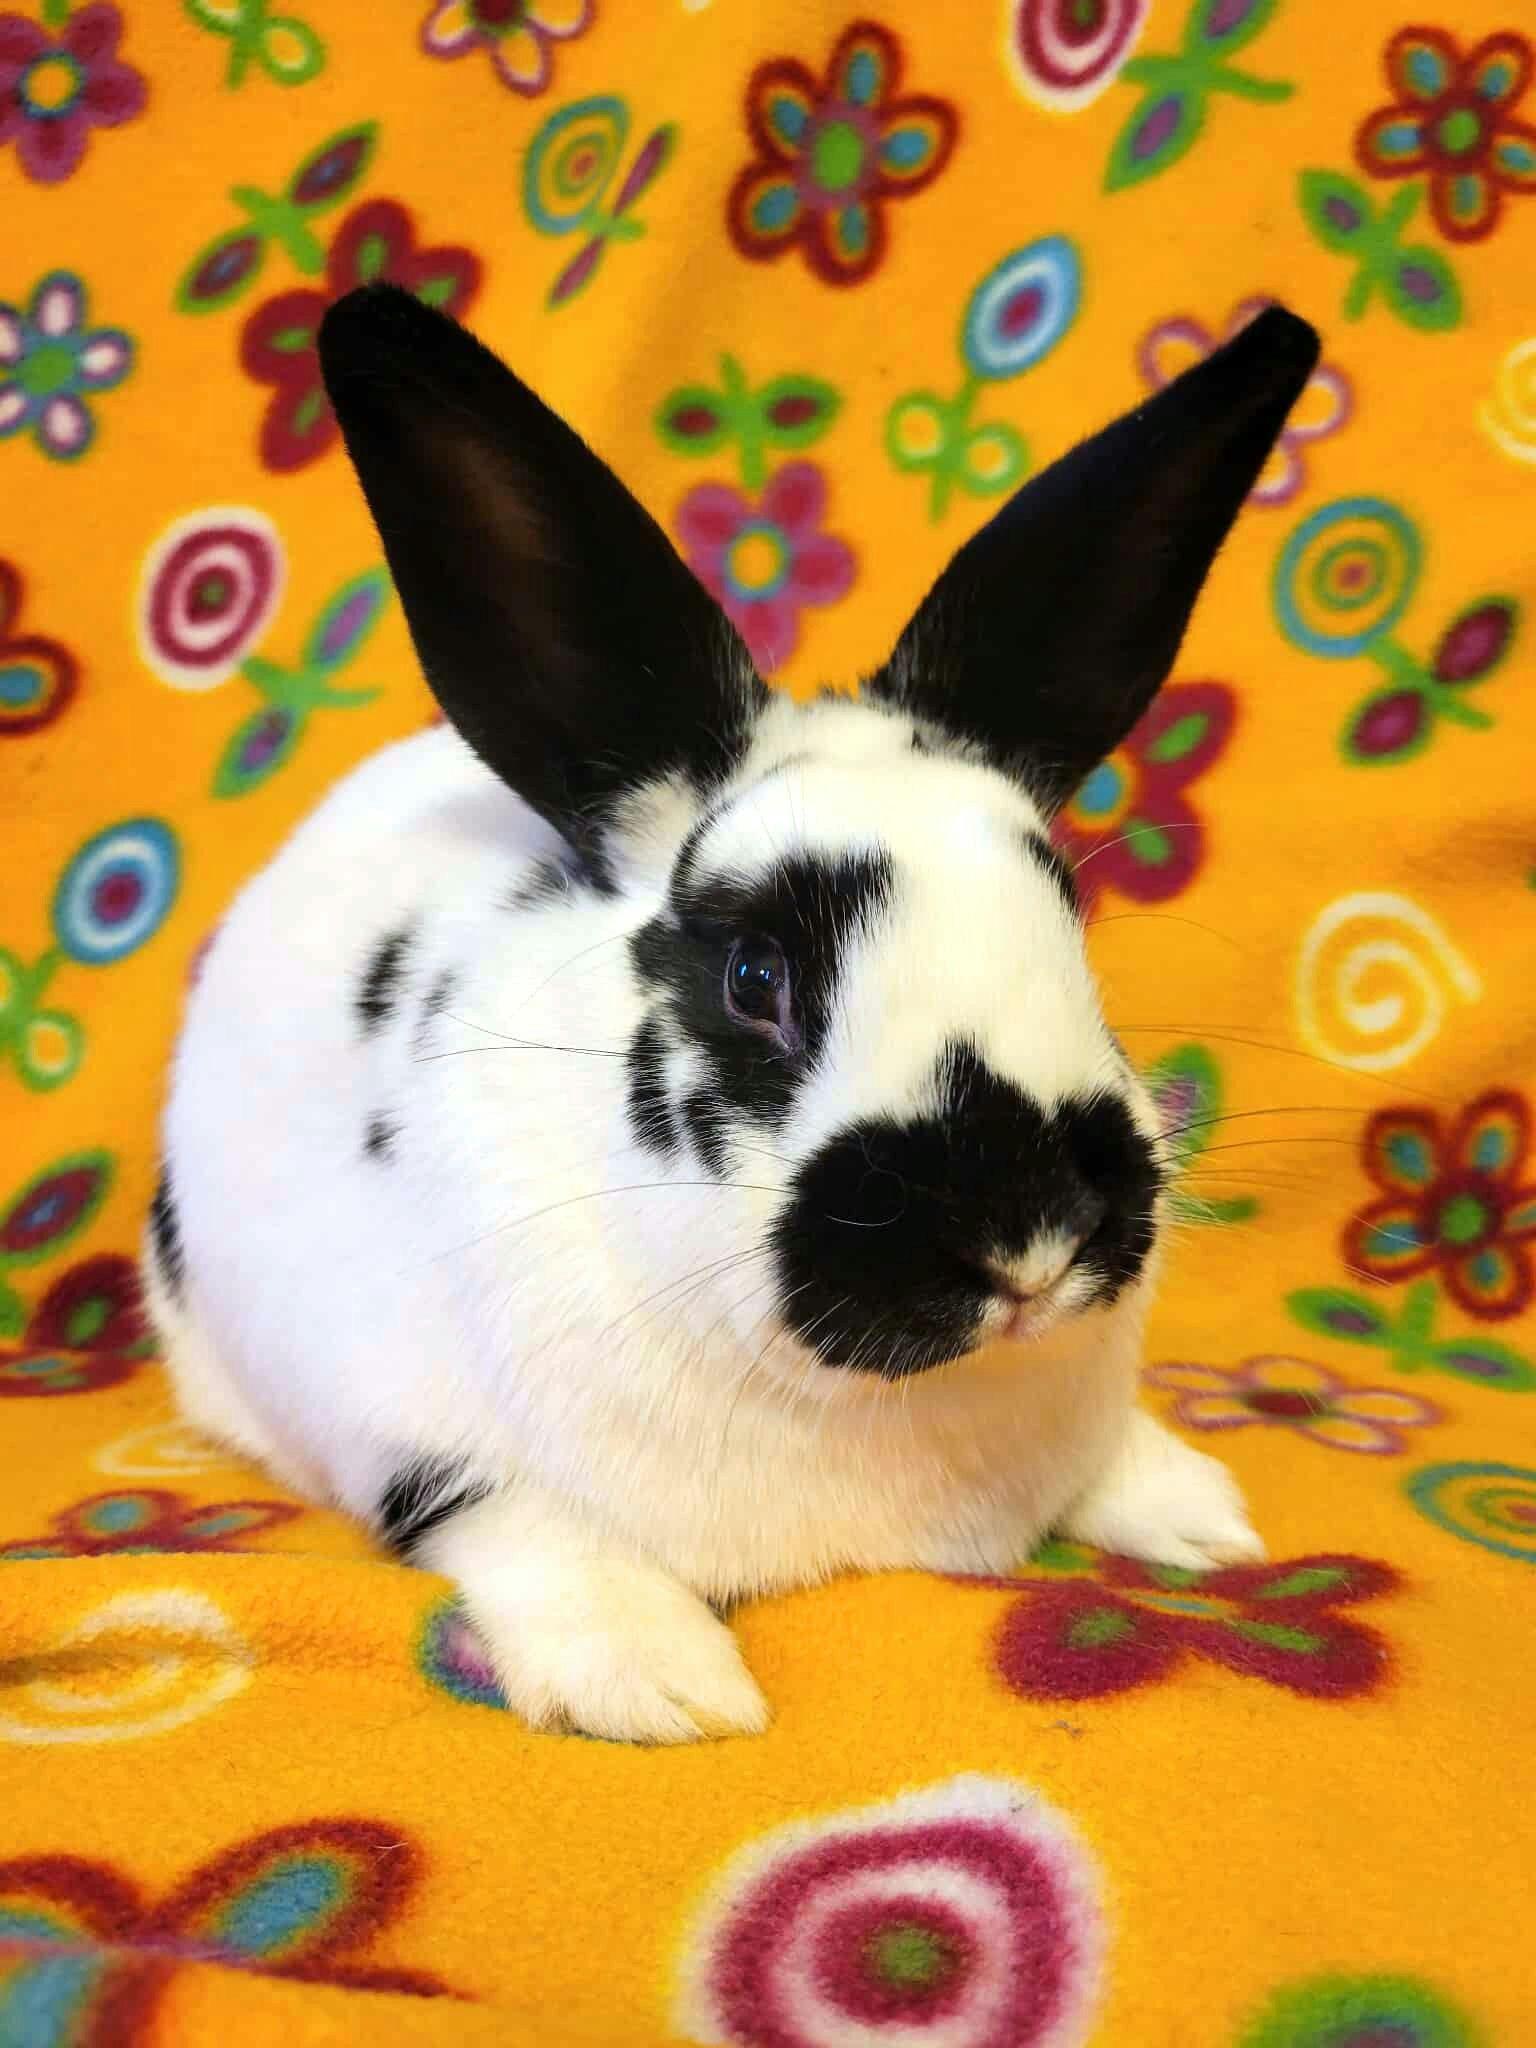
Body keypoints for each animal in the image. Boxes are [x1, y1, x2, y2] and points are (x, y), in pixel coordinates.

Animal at [143, 283, 1319, 1744]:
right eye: (757, 977)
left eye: (1066, 918)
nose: (1029, 1235)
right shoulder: (402, 1415)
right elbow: (519, 1519)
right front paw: (664, 1682)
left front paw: (1197, 1512)